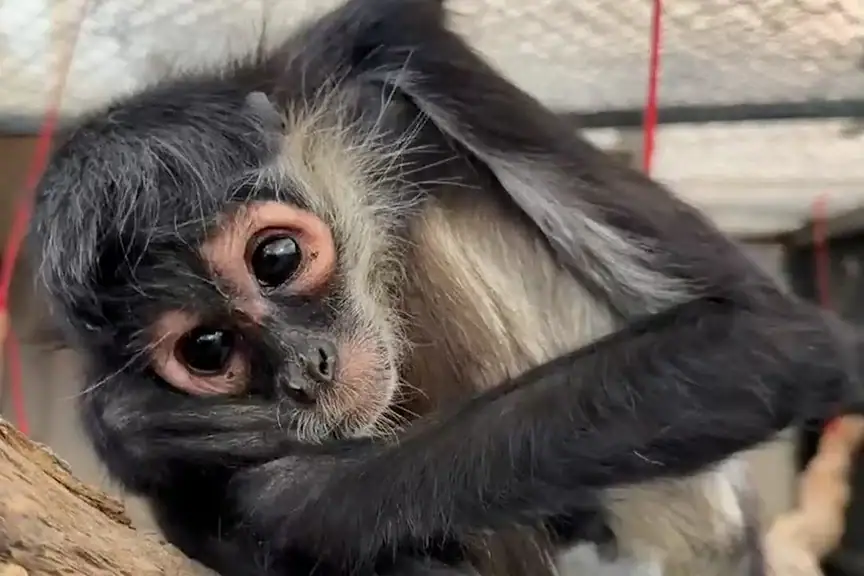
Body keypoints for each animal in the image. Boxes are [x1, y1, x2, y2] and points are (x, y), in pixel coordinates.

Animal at [27, 0, 863, 575]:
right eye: (207, 348)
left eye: (276, 258)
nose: (306, 370)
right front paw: (137, 432)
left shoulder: (388, 41)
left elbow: (765, 337)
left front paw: (300, 504)